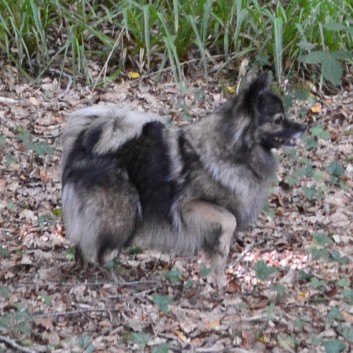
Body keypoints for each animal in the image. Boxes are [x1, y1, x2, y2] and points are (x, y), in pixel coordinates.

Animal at [61, 73, 306, 284]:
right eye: (278, 119)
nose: (303, 127)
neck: (231, 151)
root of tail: (83, 147)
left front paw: (218, 281)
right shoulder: (190, 207)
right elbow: (229, 223)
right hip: (124, 213)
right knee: (99, 246)